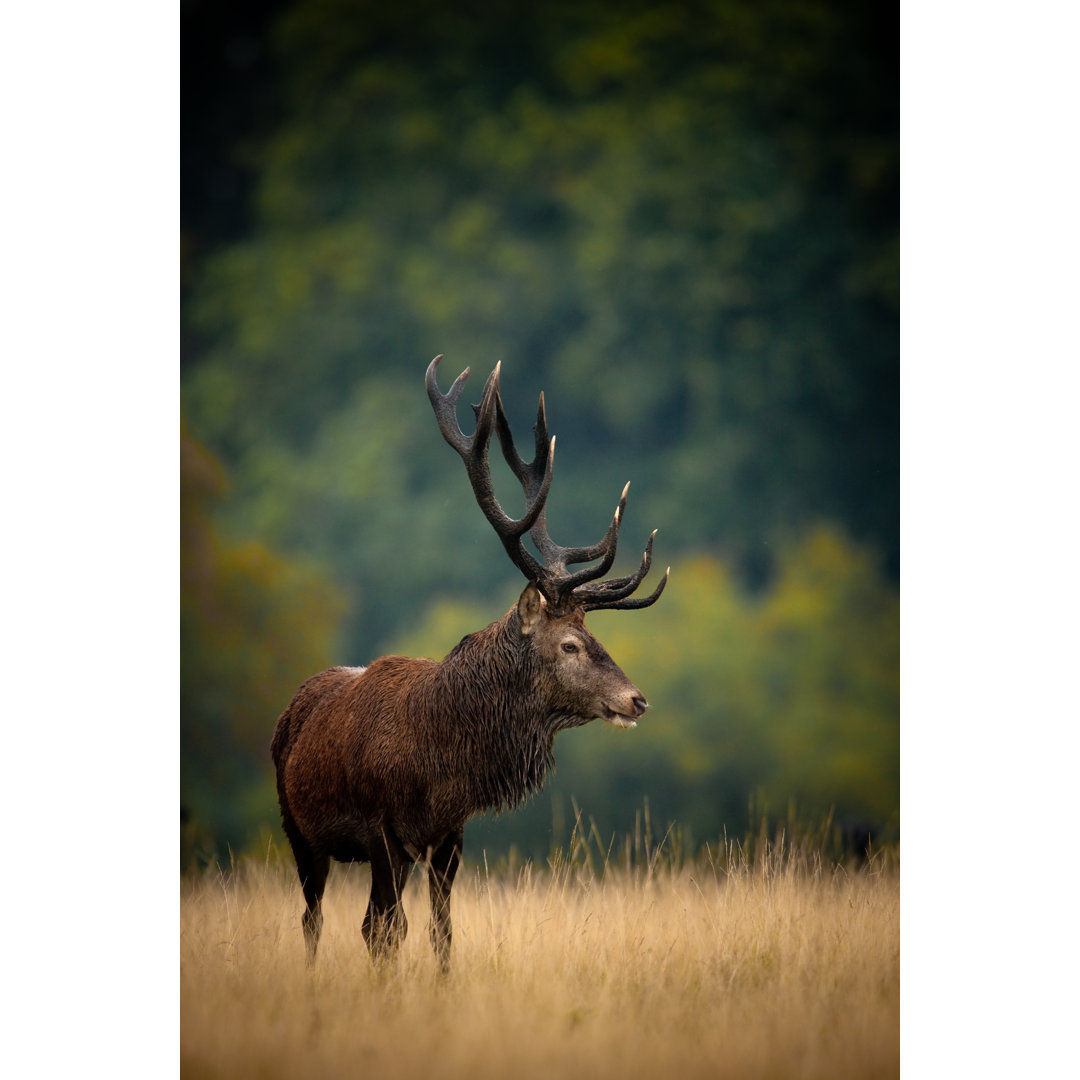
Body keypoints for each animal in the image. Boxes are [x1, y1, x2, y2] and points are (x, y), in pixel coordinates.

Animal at [267, 354, 665, 972]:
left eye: (591, 633)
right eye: (569, 645)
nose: (636, 699)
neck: (439, 760)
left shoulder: (448, 835)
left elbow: (440, 930)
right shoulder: (382, 829)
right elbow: (386, 930)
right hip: (298, 829)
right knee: (314, 919)